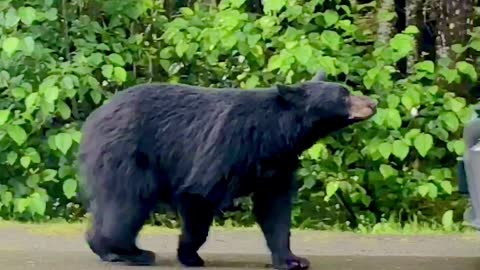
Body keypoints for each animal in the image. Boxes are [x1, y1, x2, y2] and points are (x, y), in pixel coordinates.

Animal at [79, 71, 376, 270]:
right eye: (344, 94)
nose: (373, 102)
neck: (275, 133)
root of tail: (93, 119)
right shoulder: (230, 144)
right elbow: (200, 193)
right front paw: (190, 255)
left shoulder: (278, 164)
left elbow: (275, 210)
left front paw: (292, 259)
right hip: (128, 155)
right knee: (127, 204)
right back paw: (129, 252)